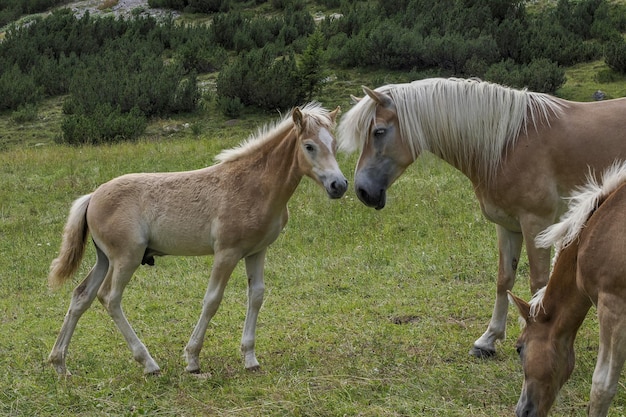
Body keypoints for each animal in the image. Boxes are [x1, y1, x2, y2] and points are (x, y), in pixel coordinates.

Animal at [48, 102, 348, 376]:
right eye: (309, 146)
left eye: (334, 144)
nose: (339, 185)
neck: (252, 185)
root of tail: (92, 196)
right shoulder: (227, 252)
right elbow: (212, 299)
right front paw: (192, 359)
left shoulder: (257, 251)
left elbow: (256, 296)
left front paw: (250, 358)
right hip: (126, 257)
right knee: (110, 297)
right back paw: (148, 363)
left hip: (105, 259)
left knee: (82, 295)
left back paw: (60, 363)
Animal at [336, 78, 624, 358]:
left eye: (379, 132)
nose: (362, 190)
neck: (509, 143)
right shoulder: (508, 226)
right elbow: (504, 279)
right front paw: (488, 340)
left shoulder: (536, 224)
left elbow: (539, 282)